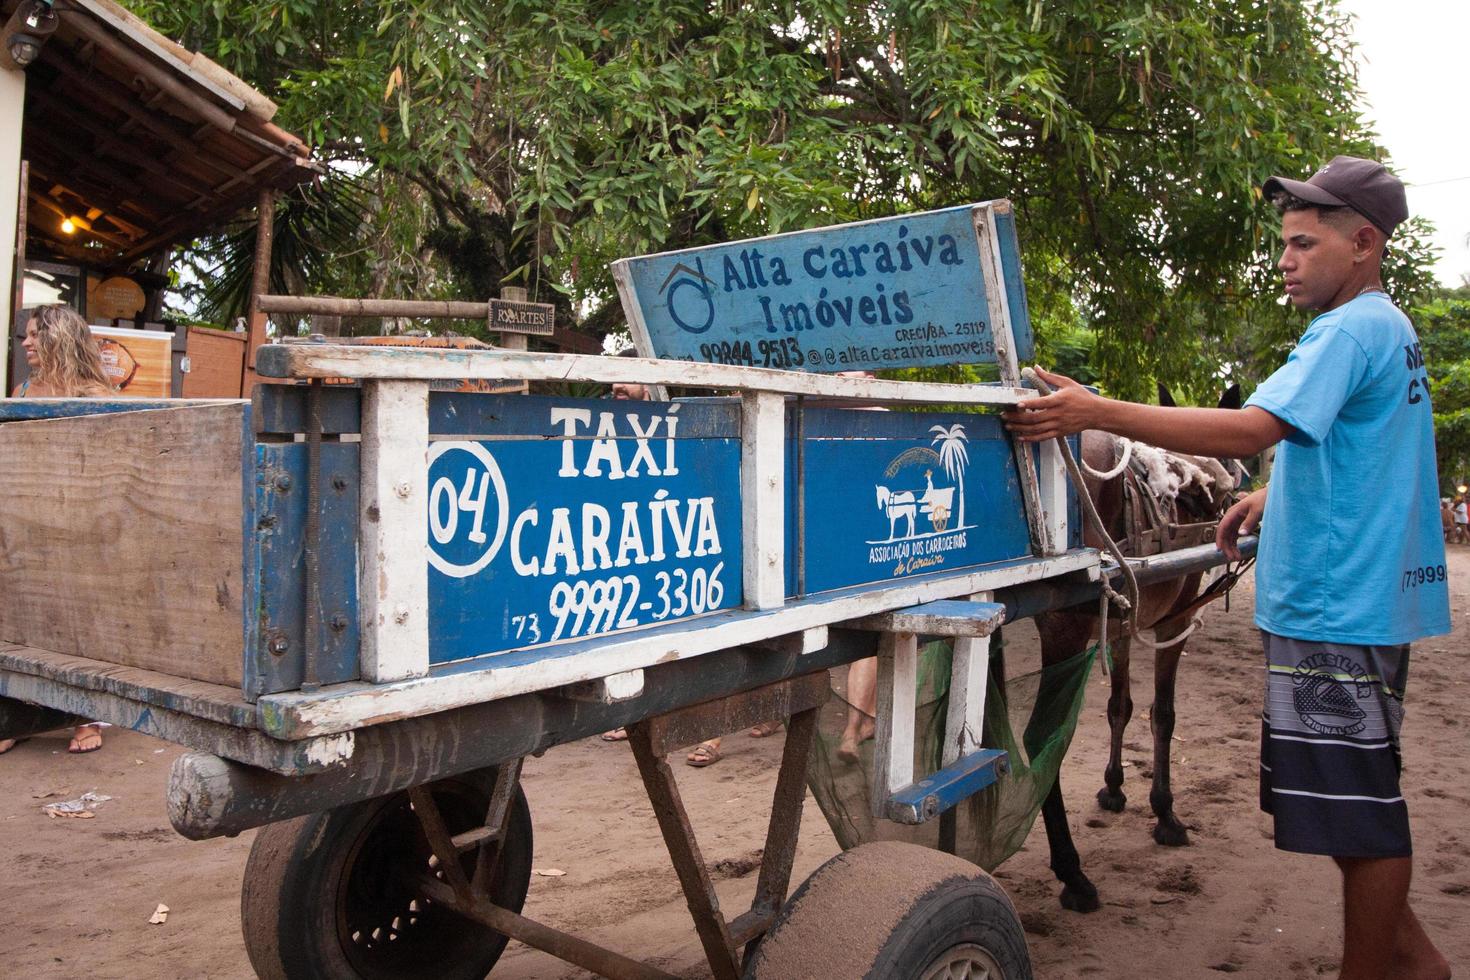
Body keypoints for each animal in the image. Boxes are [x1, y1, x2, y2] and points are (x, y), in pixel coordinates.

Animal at [1029, 399, 1246, 910]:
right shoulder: (1176, 623)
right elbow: (1163, 714)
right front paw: (1165, 814)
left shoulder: (1121, 625)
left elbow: (1120, 706)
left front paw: (1113, 787)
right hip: (1062, 628)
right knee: (1041, 739)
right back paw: (1072, 872)